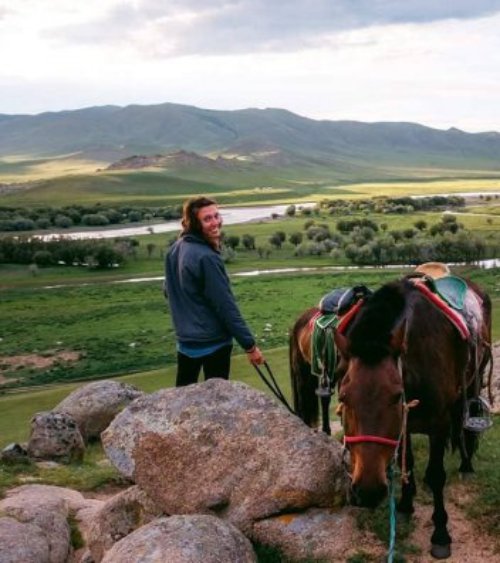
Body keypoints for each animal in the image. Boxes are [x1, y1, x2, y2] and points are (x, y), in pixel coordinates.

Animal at [292, 278, 490, 560]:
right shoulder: (404, 423)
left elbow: (436, 475)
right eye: (344, 396)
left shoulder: (438, 424)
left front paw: (441, 534)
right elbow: (408, 462)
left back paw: (466, 465)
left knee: (466, 426)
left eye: (396, 396)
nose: (367, 491)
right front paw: (405, 505)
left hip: (472, 383)